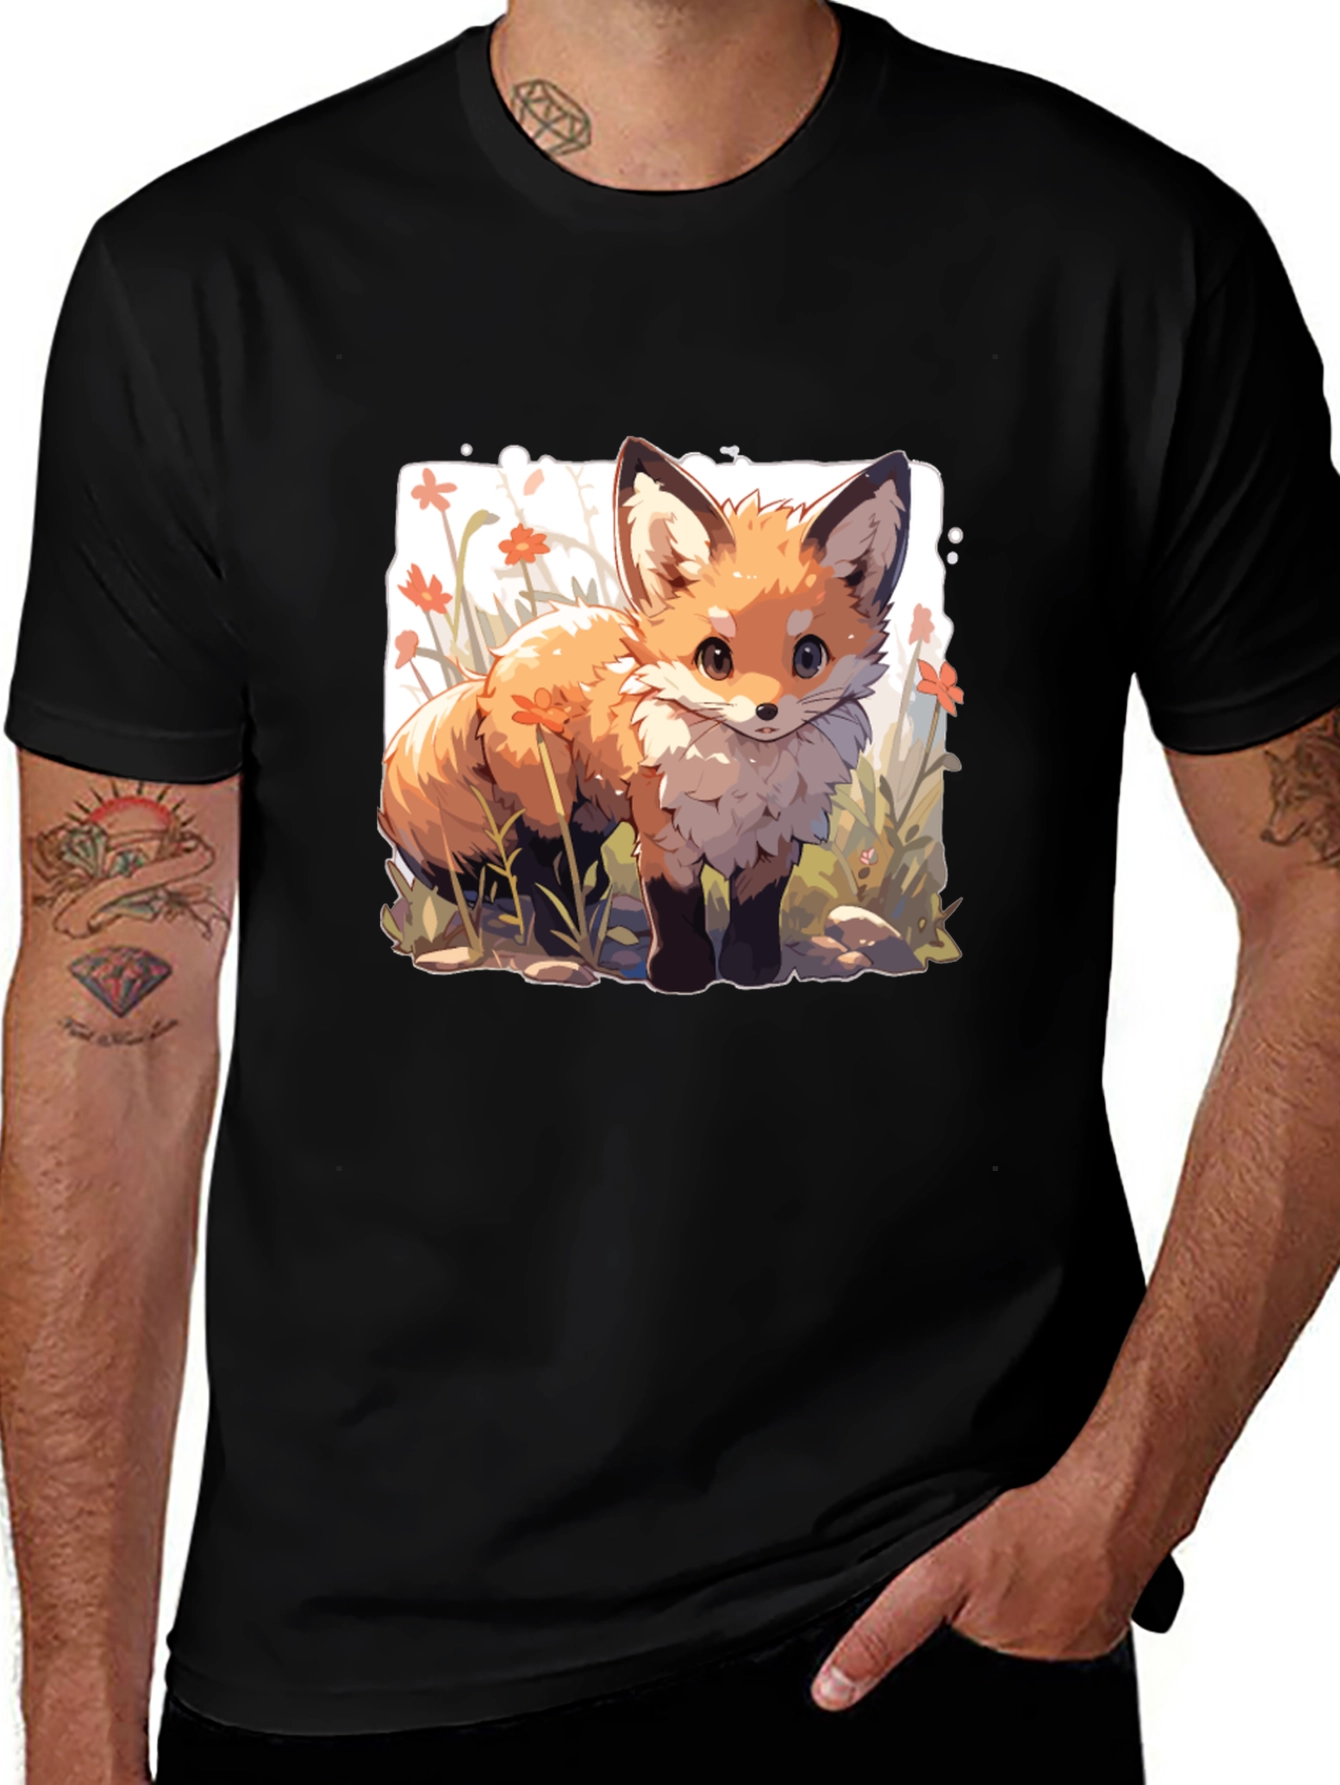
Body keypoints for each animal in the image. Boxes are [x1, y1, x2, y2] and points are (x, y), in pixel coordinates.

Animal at [379, 437, 912, 993]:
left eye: (808, 657)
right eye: (716, 659)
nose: (766, 710)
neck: (745, 779)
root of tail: (494, 669)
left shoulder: (774, 845)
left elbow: (755, 915)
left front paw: (752, 971)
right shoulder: (665, 840)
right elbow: (675, 912)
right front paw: (681, 974)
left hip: (592, 812)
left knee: (572, 867)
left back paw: (589, 910)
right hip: (551, 804)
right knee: (542, 874)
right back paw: (563, 943)